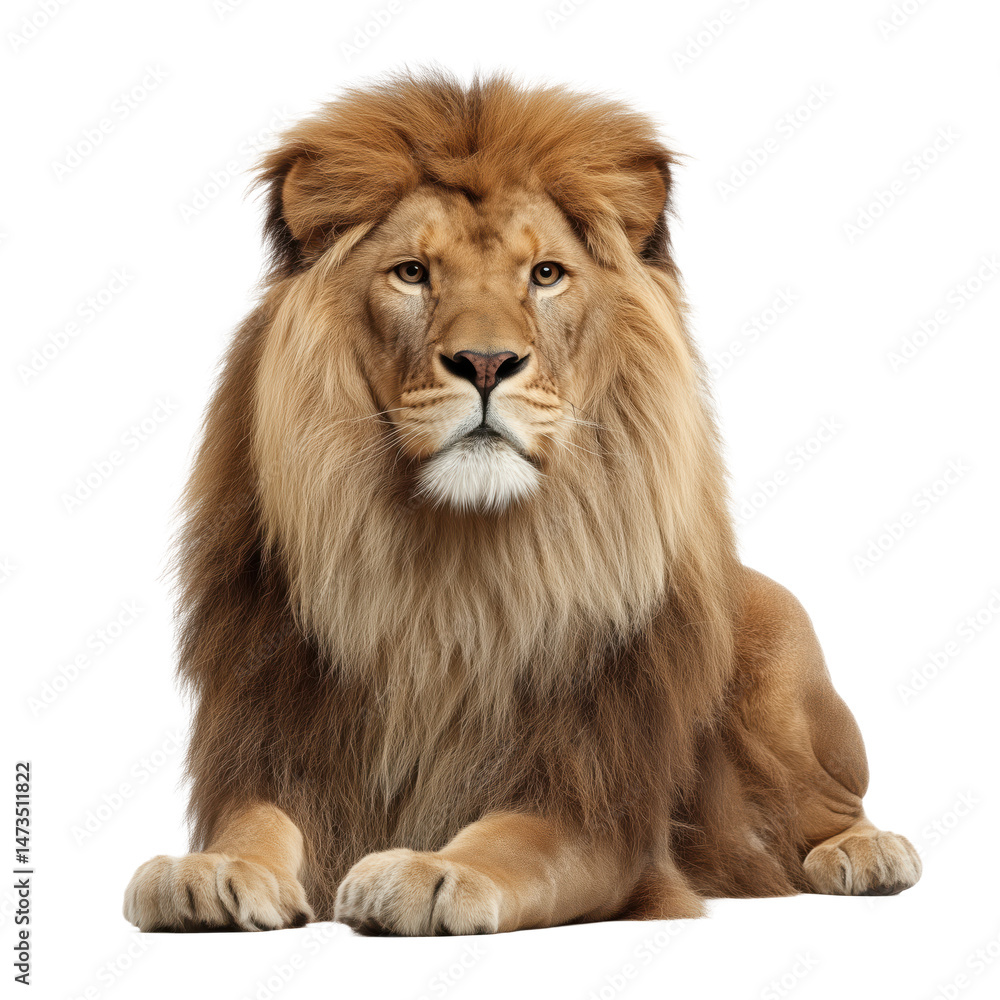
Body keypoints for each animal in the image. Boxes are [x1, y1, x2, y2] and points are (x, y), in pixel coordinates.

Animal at [123, 72, 920, 935]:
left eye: (545, 274)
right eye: (412, 273)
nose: (485, 362)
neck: (455, 561)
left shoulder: (593, 799)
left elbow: (513, 843)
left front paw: (430, 869)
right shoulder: (280, 750)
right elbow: (258, 822)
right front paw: (207, 871)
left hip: (781, 669)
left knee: (830, 806)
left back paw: (867, 853)